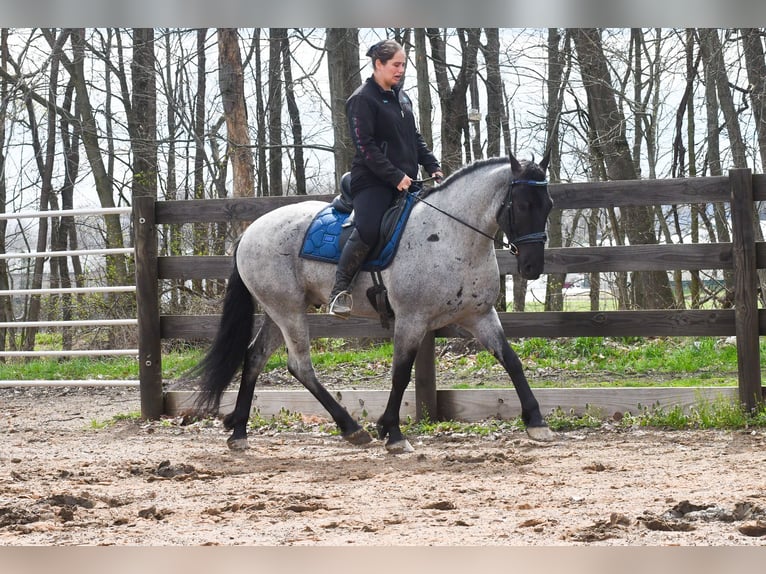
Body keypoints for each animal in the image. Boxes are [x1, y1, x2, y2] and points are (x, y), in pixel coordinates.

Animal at [193, 152, 554, 453]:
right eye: (523, 205)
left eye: (548, 204)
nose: (532, 267)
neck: (449, 235)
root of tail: (249, 232)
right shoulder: (412, 320)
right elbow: (401, 374)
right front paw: (392, 433)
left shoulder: (480, 316)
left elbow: (511, 361)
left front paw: (536, 422)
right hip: (288, 311)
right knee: (300, 366)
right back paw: (351, 428)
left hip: (278, 309)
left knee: (255, 357)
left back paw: (240, 431)